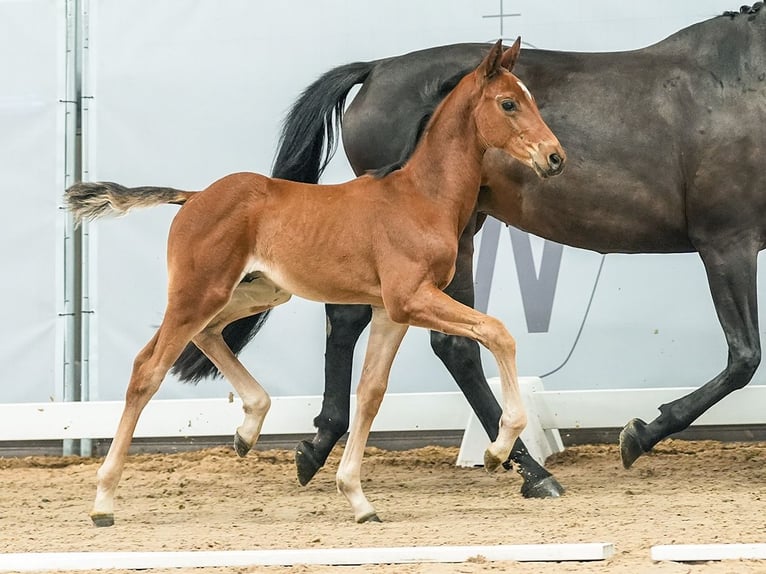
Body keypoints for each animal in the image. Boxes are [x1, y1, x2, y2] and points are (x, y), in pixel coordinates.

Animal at [66, 38, 568, 528]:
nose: (555, 157)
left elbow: (371, 393)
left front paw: (358, 499)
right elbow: (497, 332)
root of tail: (193, 197)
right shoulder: (411, 299)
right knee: (147, 370)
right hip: (197, 292)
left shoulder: (391, 311)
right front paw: (496, 451)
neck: (421, 197)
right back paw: (103, 501)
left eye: (530, 99)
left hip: (256, 292)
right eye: (508, 103)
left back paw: (248, 428)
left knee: (206, 335)